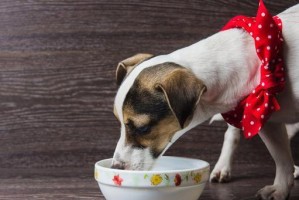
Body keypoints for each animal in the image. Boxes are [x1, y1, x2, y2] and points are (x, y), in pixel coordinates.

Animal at [112, 3, 299, 200]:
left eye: (143, 128)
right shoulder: (261, 116)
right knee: (233, 133)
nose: (116, 167)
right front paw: (280, 188)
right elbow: (281, 158)